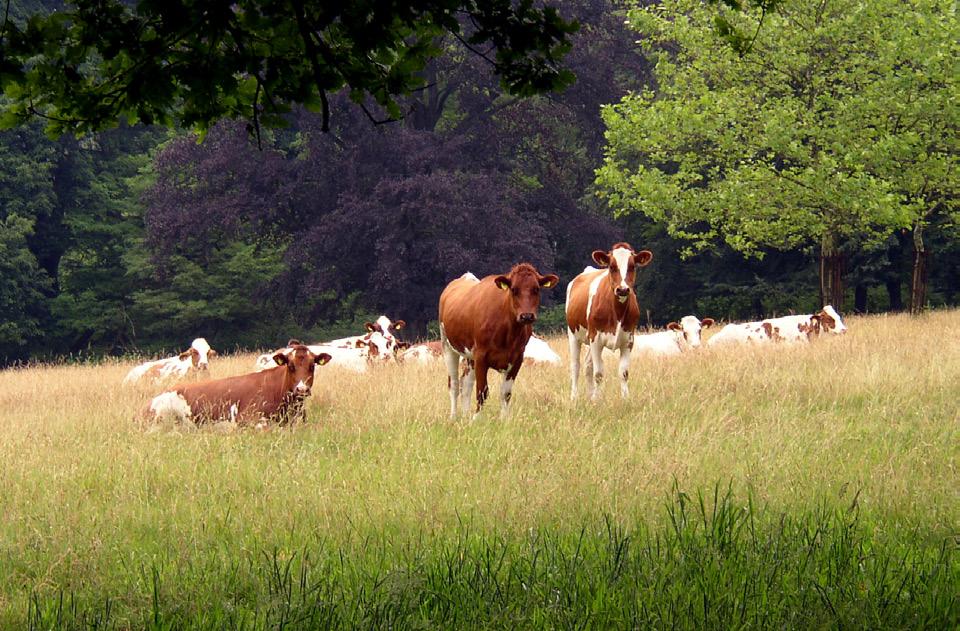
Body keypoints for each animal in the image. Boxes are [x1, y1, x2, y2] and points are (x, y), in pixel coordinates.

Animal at [438, 262, 560, 420]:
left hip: (470, 356)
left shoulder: (517, 358)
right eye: (514, 289)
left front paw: (504, 419)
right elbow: (482, 391)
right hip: (447, 346)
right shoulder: (481, 356)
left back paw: (465, 415)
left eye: (536, 289)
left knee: (466, 384)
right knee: (454, 384)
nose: (526, 316)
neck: (508, 332)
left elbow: (505, 393)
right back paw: (453, 417)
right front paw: (477, 419)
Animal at [564, 242, 652, 400]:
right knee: (575, 366)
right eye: (611, 266)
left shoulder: (629, 340)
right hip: (573, 334)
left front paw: (625, 399)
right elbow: (598, 373)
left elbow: (624, 372)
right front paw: (597, 401)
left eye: (632, 266)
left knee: (587, 365)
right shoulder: (596, 339)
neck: (617, 312)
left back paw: (589, 396)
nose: (622, 289)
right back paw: (574, 397)